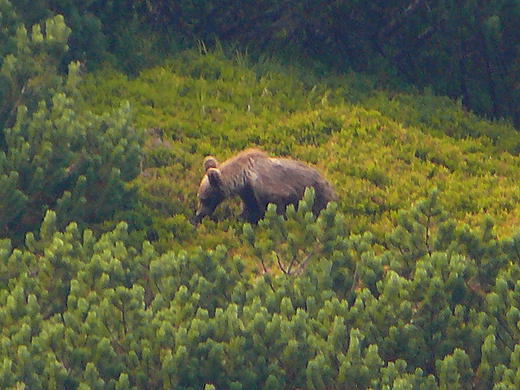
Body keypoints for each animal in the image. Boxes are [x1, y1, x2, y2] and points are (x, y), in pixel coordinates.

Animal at [193, 148, 336, 224]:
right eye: (200, 197)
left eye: (203, 199)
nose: (199, 214)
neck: (243, 177)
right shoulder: (248, 194)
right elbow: (250, 211)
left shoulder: (266, 189)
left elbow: (278, 207)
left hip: (319, 194)